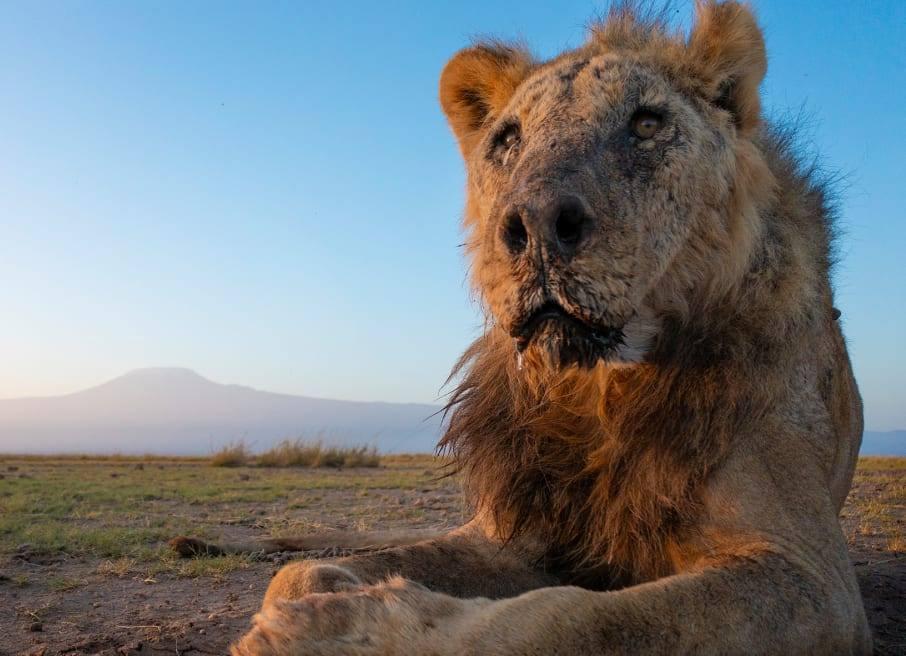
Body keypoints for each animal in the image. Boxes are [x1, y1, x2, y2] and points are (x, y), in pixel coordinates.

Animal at [179, 3, 872, 653]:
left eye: (647, 124)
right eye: (507, 140)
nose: (536, 224)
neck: (597, 389)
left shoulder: (811, 577)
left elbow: (575, 619)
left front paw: (341, 632)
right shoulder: (514, 532)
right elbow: (298, 574)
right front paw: (321, 595)